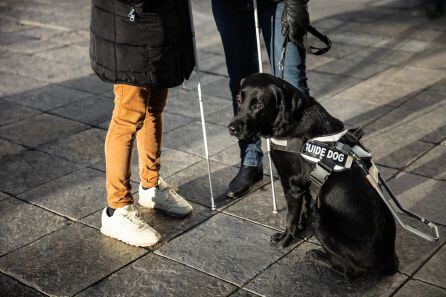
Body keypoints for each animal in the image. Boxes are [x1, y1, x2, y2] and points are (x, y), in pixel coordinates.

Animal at [228, 73, 398, 278]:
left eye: (258, 105)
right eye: (239, 100)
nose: (232, 128)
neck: (290, 122)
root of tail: (389, 261)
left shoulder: (291, 184)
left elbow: (291, 217)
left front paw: (285, 240)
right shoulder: (303, 184)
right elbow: (304, 206)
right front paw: (301, 227)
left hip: (320, 218)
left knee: (349, 271)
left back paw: (318, 256)